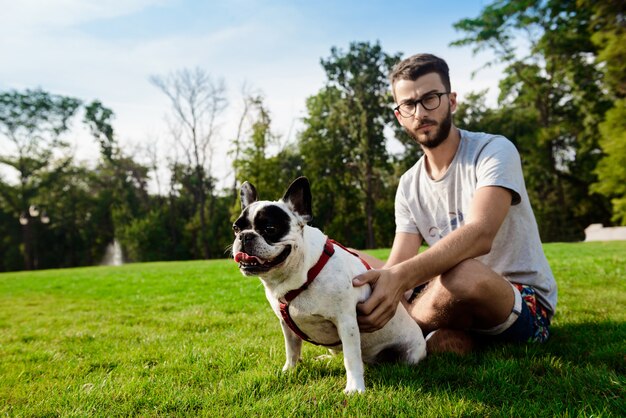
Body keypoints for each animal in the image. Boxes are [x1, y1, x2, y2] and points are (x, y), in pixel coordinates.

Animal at [232, 178, 426, 394]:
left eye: (270, 229)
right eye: (236, 228)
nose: (245, 236)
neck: (302, 274)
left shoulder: (346, 322)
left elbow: (351, 358)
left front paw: (355, 388)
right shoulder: (287, 326)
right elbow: (292, 349)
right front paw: (289, 371)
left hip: (410, 353)